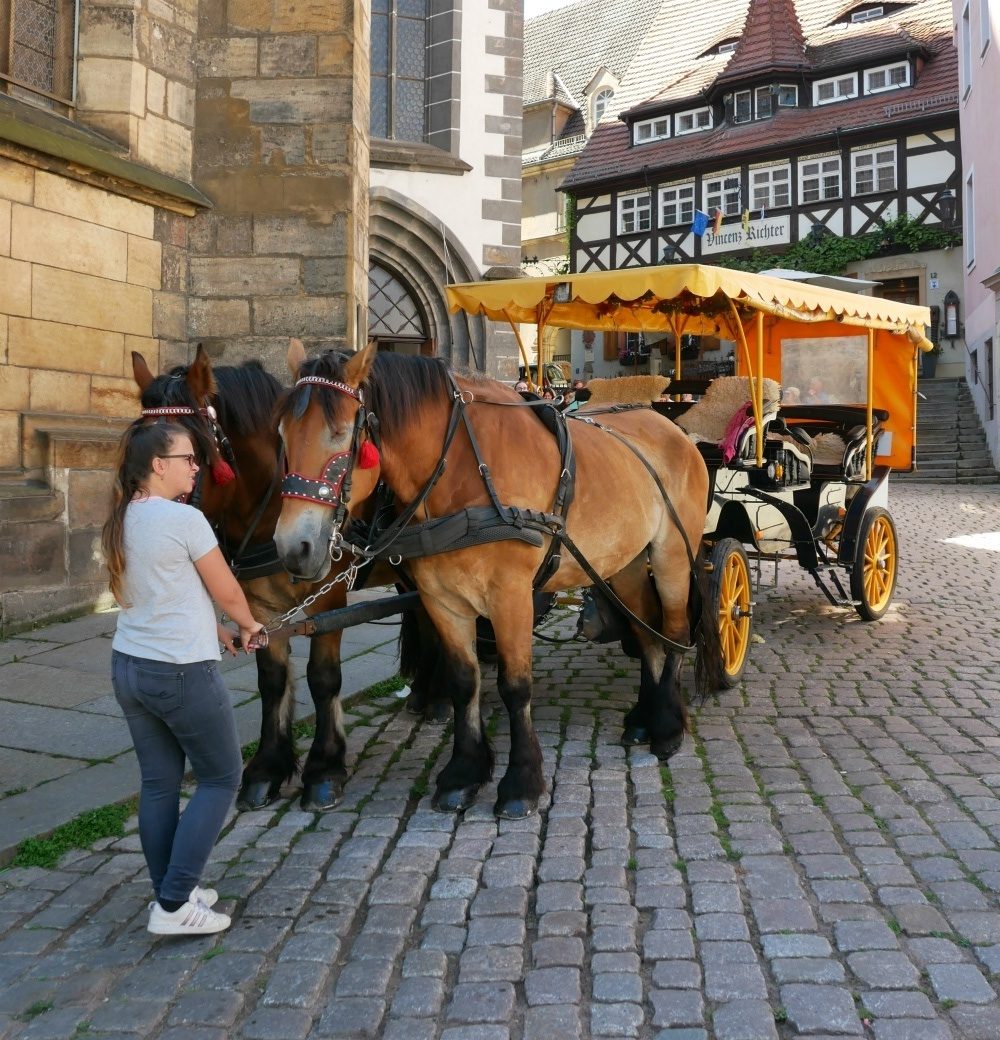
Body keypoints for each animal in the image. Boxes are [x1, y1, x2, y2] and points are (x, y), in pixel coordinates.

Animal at [129, 345, 436, 807]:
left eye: (185, 452)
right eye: (132, 445)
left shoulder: (328, 602)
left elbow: (323, 679)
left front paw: (324, 767)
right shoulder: (260, 606)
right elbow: (271, 680)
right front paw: (266, 769)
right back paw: (428, 696)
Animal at [274, 341, 715, 819]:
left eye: (339, 434)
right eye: (281, 435)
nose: (293, 547)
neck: (464, 472)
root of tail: (670, 427)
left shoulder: (511, 596)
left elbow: (515, 686)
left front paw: (521, 781)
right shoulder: (440, 599)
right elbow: (464, 681)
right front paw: (463, 773)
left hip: (672, 556)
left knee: (675, 631)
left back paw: (668, 726)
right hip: (625, 564)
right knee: (647, 631)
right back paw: (643, 718)